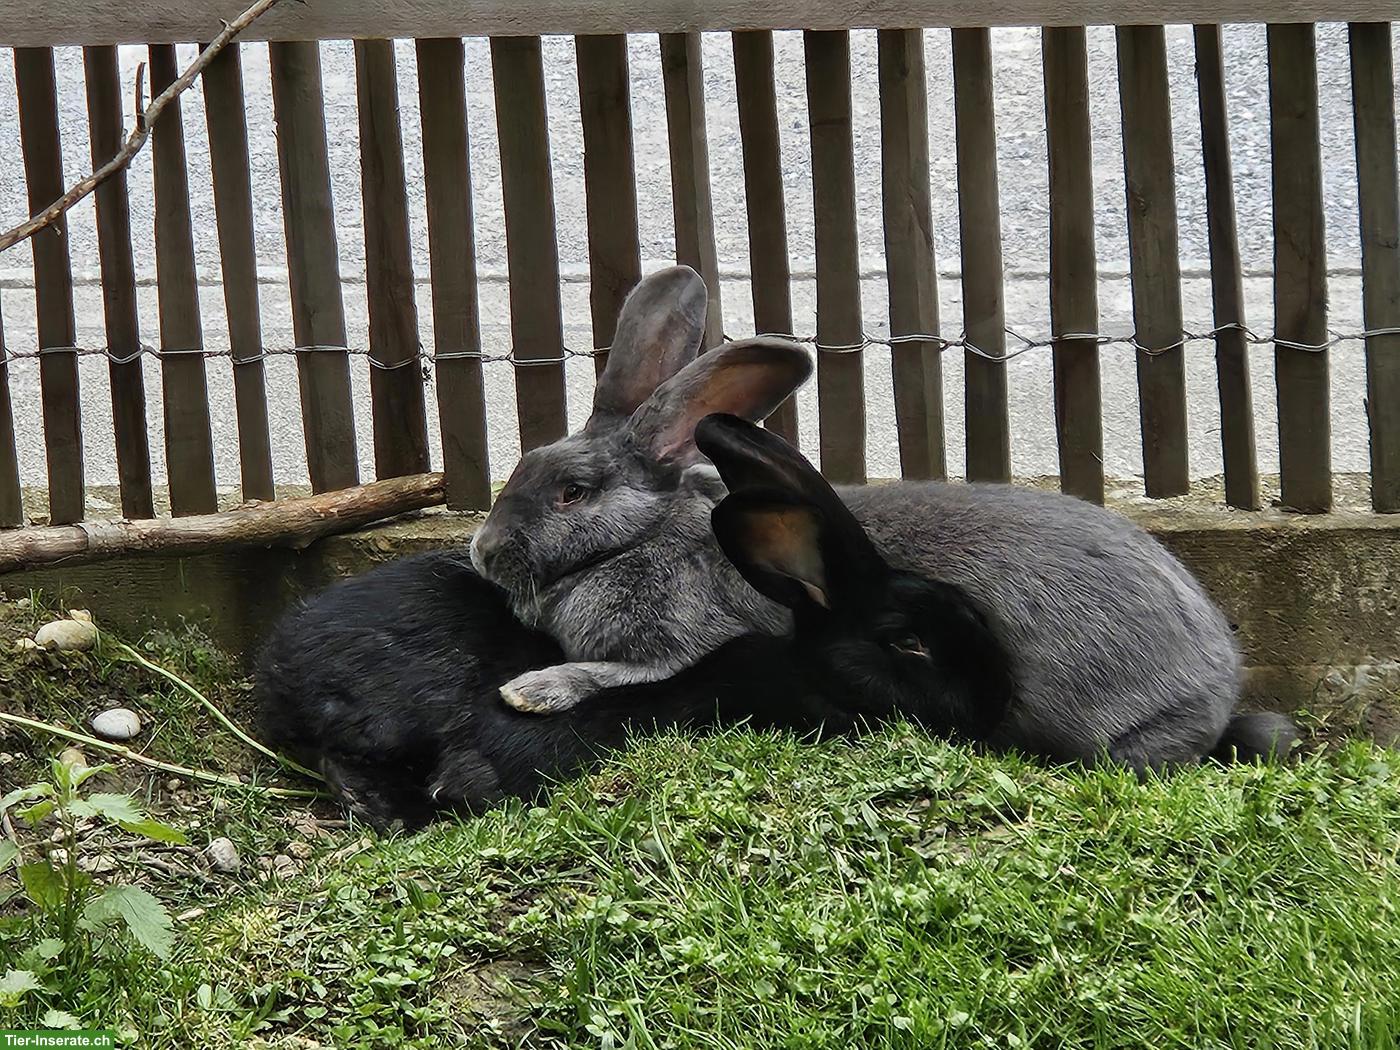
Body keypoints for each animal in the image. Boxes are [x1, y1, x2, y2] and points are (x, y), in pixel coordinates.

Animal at [468, 267, 813, 714]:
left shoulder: (675, 648)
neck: (639, 538)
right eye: (527, 460)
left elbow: (601, 673)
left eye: (573, 491)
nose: (482, 553)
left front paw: (529, 691)